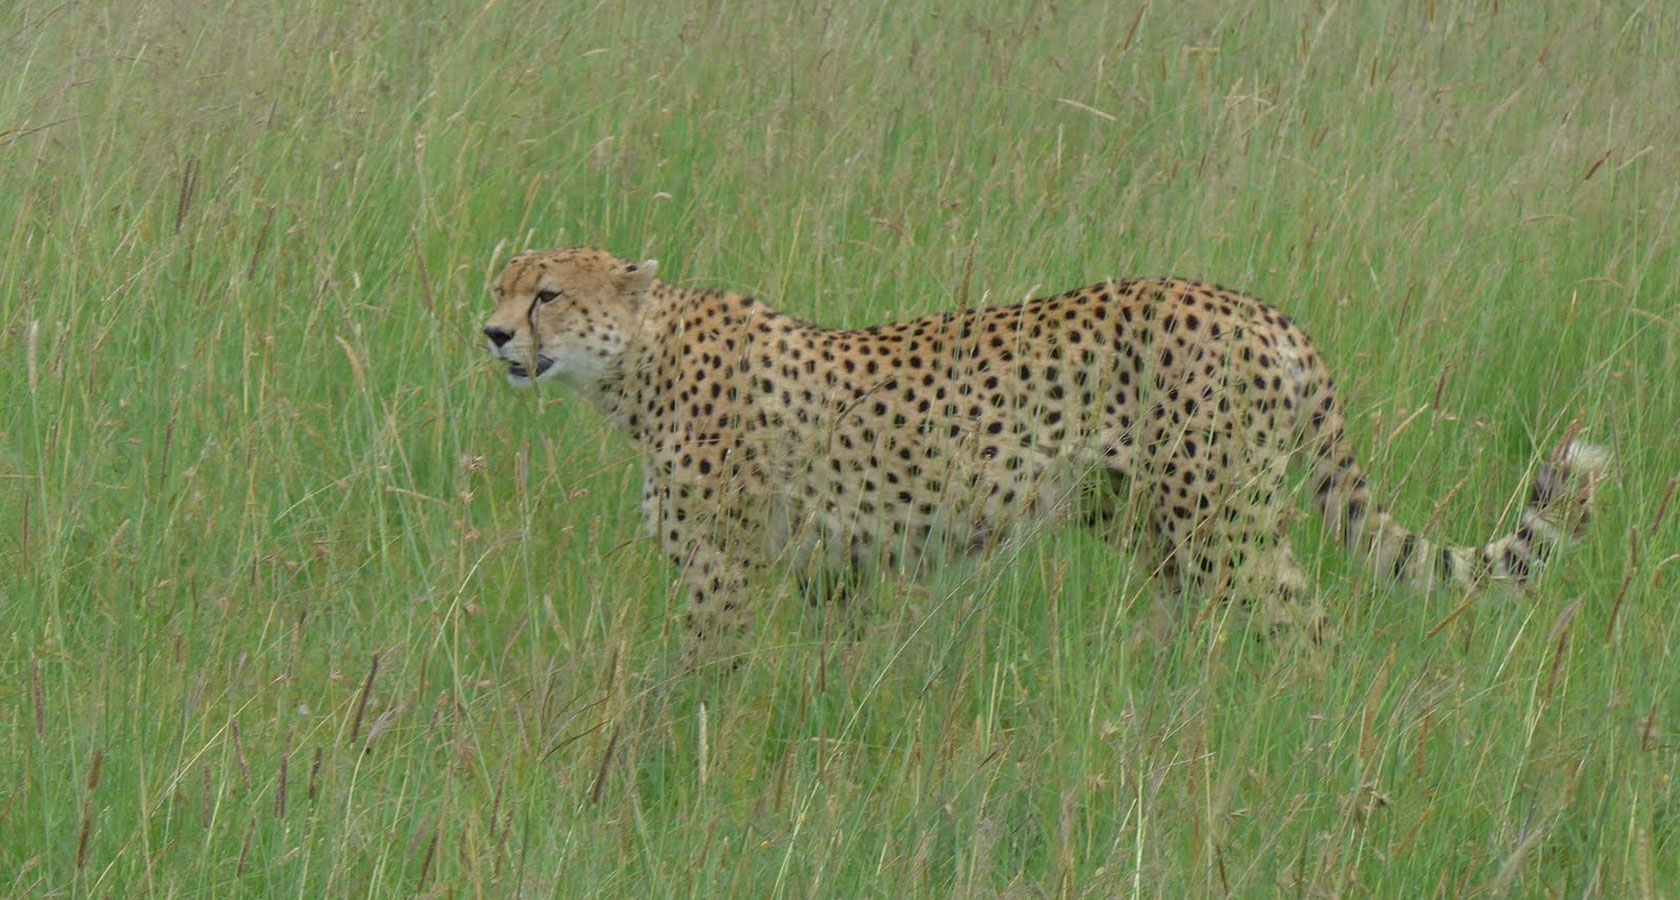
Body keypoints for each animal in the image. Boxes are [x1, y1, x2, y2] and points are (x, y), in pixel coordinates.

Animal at [482, 247, 1608, 667]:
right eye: (502, 287)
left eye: (548, 295)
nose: (490, 335)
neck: (636, 363)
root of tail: (1256, 306)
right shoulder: (832, 570)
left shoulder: (722, 571)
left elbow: (695, 677)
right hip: (1158, 529)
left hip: (1224, 521)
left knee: (1307, 626)